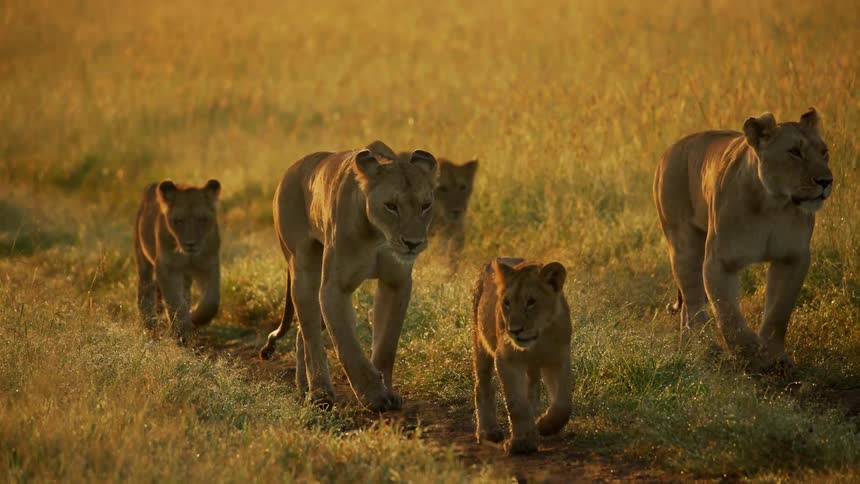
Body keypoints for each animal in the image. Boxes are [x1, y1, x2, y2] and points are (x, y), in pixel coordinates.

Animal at [134, 179, 222, 342]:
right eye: (178, 220)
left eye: (202, 219)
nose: (190, 243)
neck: (189, 256)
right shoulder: (167, 267)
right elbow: (174, 301)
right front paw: (182, 331)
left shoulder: (208, 265)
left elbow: (211, 302)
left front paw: (195, 319)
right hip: (142, 256)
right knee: (145, 287)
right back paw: (149, 323)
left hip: (185, 275)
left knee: (185, 294)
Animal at [258, 140, 437, 412]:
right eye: (391, 206)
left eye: (425, 206)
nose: (413, 243)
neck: (379, 235)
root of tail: (291, 169)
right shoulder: (334, 289)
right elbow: (348, 347)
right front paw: (373, 395)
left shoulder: (396, 283)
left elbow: (386, 344)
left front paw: (387, 389)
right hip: (304, 270)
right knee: (311, 336)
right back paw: (320, 393)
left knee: (302, 332)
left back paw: (304, 388)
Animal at [472, 257, 572, 455]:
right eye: (507, 302)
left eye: (531, 302)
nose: (515, 330)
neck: (539, 338)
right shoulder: (507, 359)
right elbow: (516, 403)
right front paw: (522, 442)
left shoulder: (558, 358)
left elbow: (563, 403)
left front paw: (546, 426)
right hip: (480, 344)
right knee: (482, 387)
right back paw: (488, 431)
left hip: (533, 367)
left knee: (532, 389)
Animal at [653, 108, 833, 371]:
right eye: (794, 152)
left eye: (824, 152)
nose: (826, 181)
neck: (773, 204)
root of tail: (668, 152)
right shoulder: (720, 262)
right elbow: (729, 315)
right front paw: (751, 353)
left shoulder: (793, 258)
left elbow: (778, 312)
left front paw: (776, 356)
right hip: (683, 244)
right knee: (693, 302)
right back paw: (705, 348)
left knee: (689, 304)